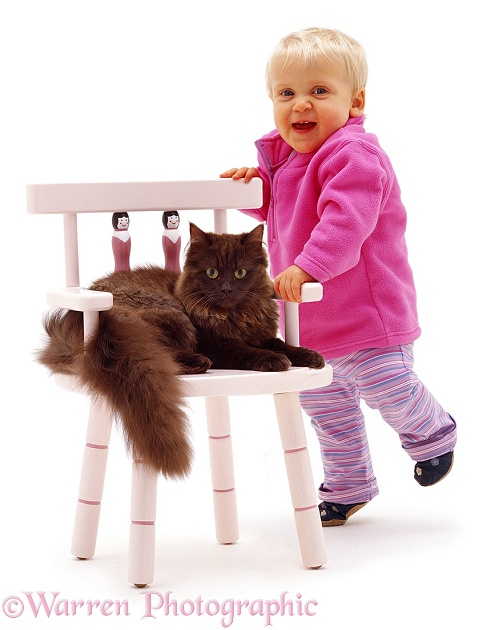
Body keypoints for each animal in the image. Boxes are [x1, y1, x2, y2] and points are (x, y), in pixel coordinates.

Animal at [37, 222, 324, 478]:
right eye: (212, 273)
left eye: (241, 273)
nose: (227, 288)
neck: (235, 316)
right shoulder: (217, 344)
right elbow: (248, 351)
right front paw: (276, 360)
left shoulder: (262, 335)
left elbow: (282, 344)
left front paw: (310, 355)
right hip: (174, 319)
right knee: (166, 356)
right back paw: (198, 362)